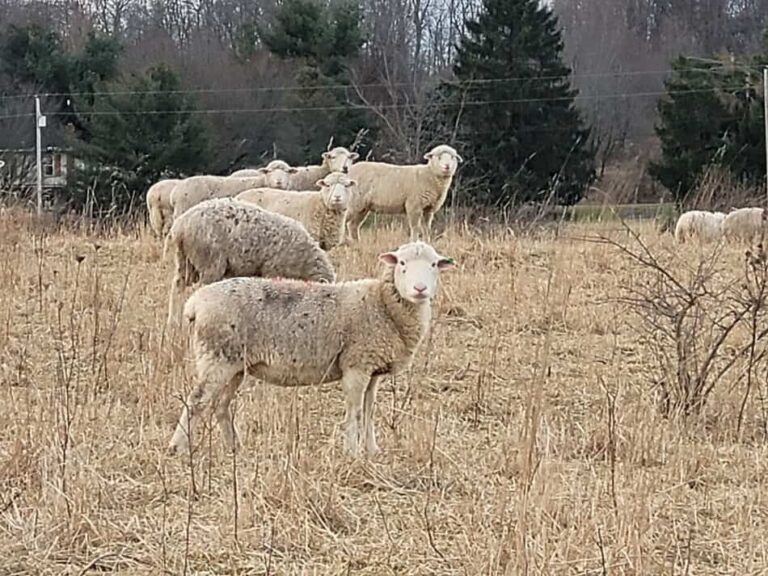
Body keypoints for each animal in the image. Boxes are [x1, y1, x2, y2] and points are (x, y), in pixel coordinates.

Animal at [166, 197, 334, 328]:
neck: (305, 262)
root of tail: (180, 227)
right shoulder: (273, 270)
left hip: (185, 260)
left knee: (177, 287)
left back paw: (174, 323)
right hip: (209, 261)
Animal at [169, 238, 456, 454]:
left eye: (433, 264)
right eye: (402, 264)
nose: (420, 289)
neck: (383, 304)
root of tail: (195, 303)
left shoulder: (373, 368)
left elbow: (369, 410)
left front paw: (372, 450)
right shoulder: (356, 365)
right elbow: (354, 410)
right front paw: (352, 452)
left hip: (234, 365)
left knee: (220, 405)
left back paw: (235, 447)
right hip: (217, 357)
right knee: (197, 401)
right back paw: (177, 448)